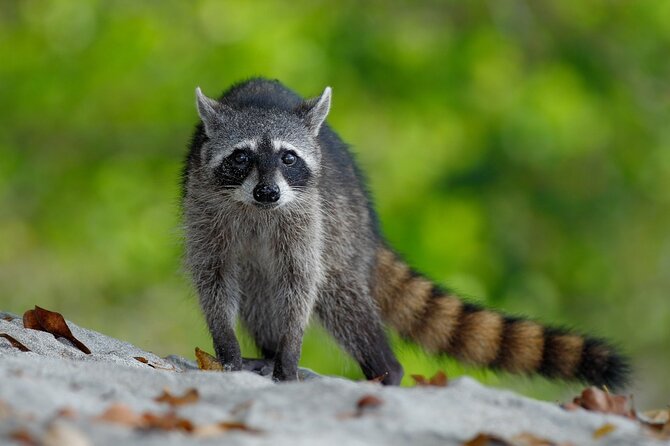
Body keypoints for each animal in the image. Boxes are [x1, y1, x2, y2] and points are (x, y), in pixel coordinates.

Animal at [181, 78, 632, 388]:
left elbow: (301, 283)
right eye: (242, 157)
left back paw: (382, 368)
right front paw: (228, 347)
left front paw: (289, 353)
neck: (256, 208)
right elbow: (214, 277)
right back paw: (268, 353)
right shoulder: (203, 207)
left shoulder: (305, 218)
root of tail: (368, 224)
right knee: (261, 292)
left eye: (288, 158)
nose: (268, 192)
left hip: (339, 227)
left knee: (338, 293)